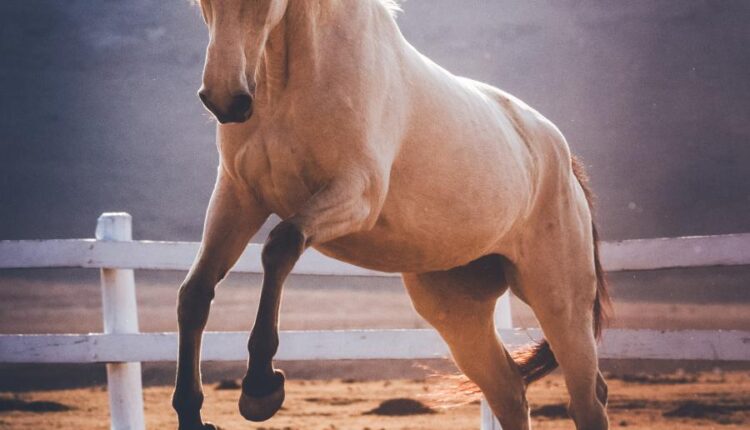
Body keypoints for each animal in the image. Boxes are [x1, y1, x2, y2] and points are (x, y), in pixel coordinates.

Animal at [172, 1, 611, 429]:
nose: (226, 99)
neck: (293, 82)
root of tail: (565, 160)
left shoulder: (357, 195)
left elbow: (280, 246)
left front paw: (261, 387)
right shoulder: (238, 198)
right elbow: (194, 292)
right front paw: (191, 413)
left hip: (560, 305)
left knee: (587, 401)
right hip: (458, 313)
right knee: (510, 393)